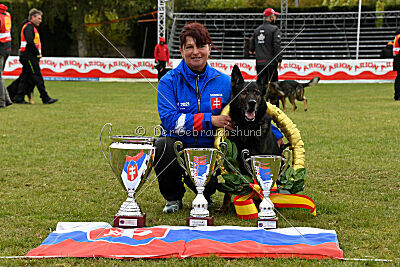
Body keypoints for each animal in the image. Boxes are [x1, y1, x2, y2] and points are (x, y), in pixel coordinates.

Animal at [217, 65, 280, 214]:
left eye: (257, 93)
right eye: (244, 93)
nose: (252, 103)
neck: (247, 128)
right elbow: (229, 189)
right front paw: (224, 207)